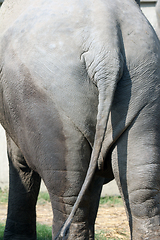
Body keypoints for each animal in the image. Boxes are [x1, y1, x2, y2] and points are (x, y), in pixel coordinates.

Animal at [0, 0, 160, 239]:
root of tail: (105, 45)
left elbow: (20, 162)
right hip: (146, 85)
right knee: (142, 189)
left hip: (49, 104)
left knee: (68, 194)